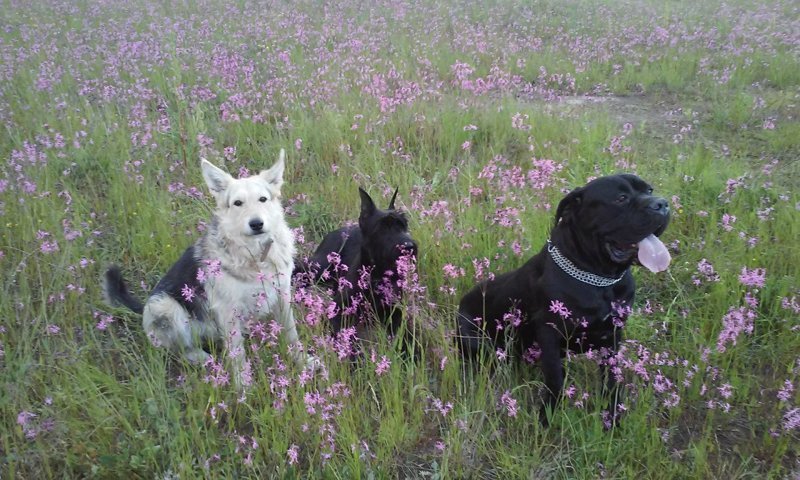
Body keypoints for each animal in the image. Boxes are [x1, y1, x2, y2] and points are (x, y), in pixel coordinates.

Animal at [104, 150, 310, 386]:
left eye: (263, 199)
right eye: (237, 203)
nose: (256, 224)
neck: (256, 256)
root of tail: (144, 308)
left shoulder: (282, 295)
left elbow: (292, 333)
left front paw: (303, 362)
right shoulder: (228, 311)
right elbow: (238, 354)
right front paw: (243, 387)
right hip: (166, 307)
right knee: (181, 350)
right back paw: (203, 358)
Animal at [296, 188, 418, 338]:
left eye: (403, 225)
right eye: (382, 228)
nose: (409, 247)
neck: (376, 276)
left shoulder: (394, 311)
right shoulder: (337, 309)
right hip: (319, 266)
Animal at [456, 172, 668, 424]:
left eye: (649, 190)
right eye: (621, 198)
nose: (662, 204)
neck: (598, 278)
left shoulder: (614, 332)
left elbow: (612, 377)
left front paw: (613, 416)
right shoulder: (549, 332)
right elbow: (555, 378)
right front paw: (547, 417)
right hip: (475, 339)